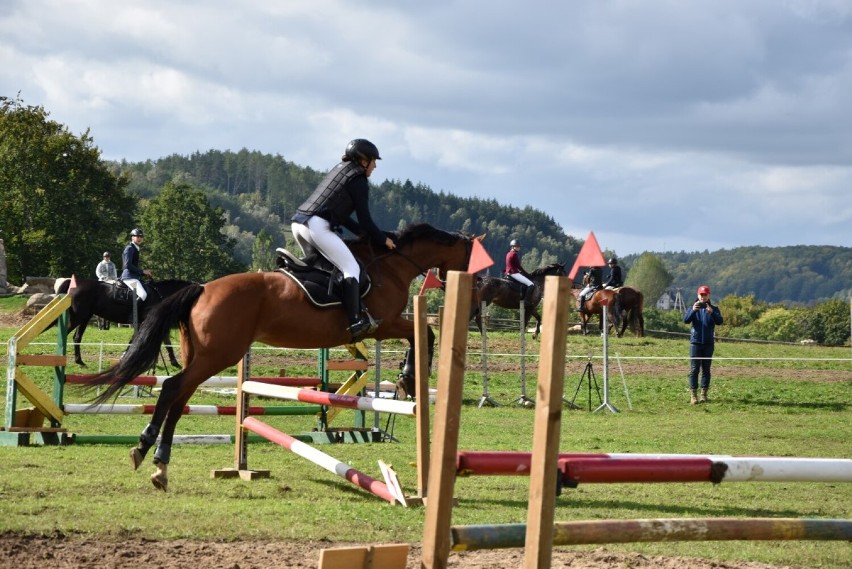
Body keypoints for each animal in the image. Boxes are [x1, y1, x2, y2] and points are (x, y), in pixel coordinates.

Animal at [56, 276, 195, 366]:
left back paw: (79, 361)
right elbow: (139, 340)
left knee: (77, 337)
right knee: (66, 334)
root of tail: (73, 283)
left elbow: (164, 341)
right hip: (78, 317)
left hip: (84, 317)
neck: (160, 295)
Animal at [87, 224, 486, 490]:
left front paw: (408, 378)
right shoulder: (381, 324)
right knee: (172, 389)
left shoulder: (382, 326)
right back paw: (145, 449)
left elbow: (421, 334)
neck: (391, 264)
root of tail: (201, 288)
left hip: (201, 356)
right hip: (217, 355)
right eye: (472, 259)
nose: (476, 301)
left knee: (179, 397)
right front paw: (408, 377)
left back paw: (160, 464)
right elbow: (424, 334)